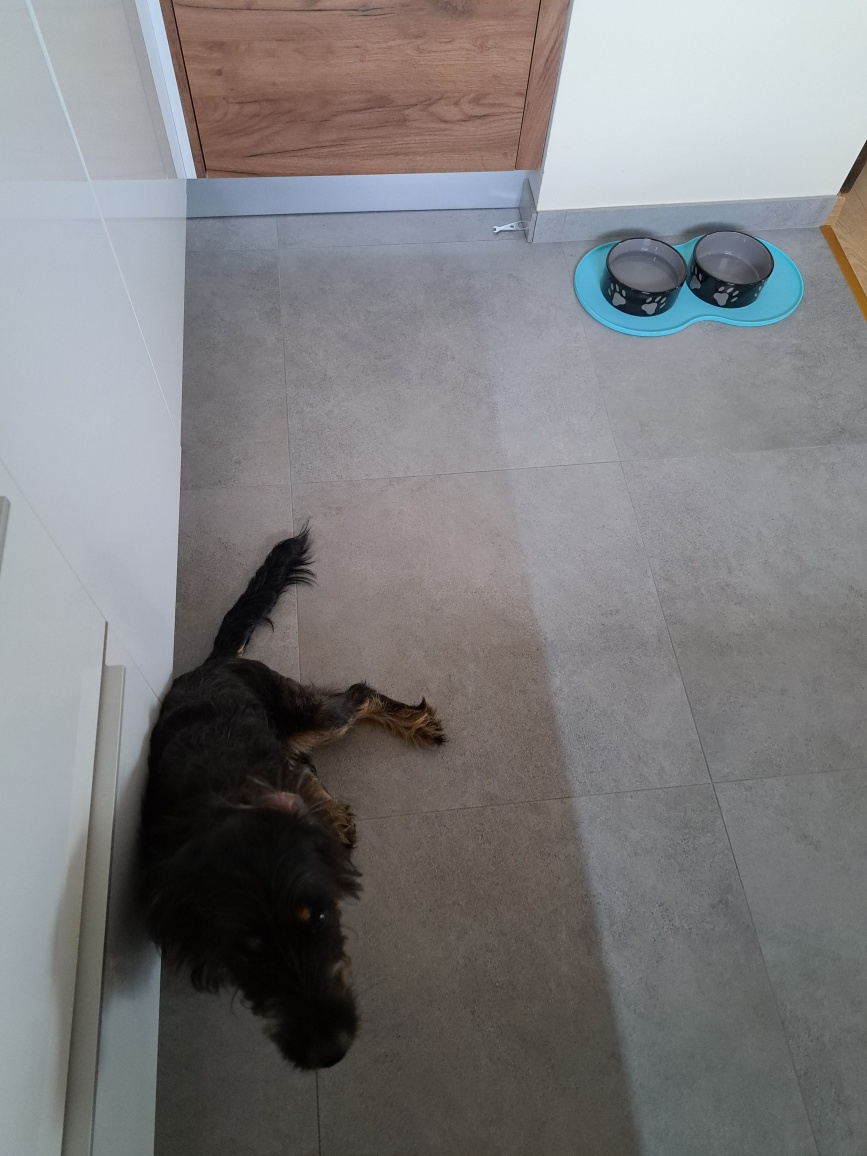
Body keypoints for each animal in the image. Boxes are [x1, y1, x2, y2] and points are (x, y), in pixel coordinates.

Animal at [140, 526, 444, 1069]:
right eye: (246, 951)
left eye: (320, 918)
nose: (327, 1051)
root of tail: (215, 662)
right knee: (309, 756)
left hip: (304, 713)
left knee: (357, 694)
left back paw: (415, 722)